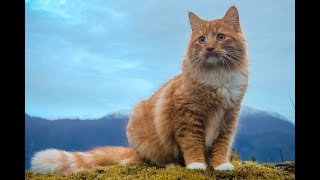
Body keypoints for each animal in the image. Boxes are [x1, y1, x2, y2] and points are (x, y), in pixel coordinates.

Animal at [30, 5, 249, 176]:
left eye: (220, 37)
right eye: (202, 40)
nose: (210, 48)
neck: (217, 78)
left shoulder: (228, 118)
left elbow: (221, 146)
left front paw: (220, 165)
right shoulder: (187, 118)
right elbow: (192, 144)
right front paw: (196, 164)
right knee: (153, 159)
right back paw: (170, 164)